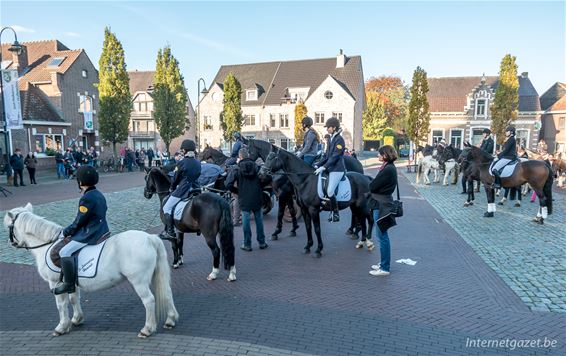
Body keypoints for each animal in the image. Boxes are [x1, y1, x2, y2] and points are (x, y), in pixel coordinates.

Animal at [3, 204, 179, 338]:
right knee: (167, 293)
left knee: (149, 301)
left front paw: (61, 327)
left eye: (9, 227)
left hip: (139, 282)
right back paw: (170, 320)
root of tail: (149, 238)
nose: (10, 243)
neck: (46, 245)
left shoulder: (55, 283)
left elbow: (61, 305)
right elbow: (74, 299)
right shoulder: (70, 282)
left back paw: (147, 330)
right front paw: (76, 319)